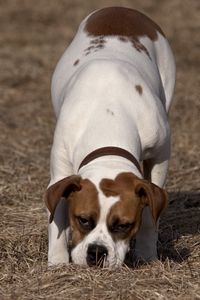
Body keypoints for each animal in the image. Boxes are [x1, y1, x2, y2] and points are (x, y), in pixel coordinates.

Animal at [45, 6, 175, 268]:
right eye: (83, 219)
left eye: (123, 225)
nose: (96, 252)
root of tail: (121, 9)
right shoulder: (60, 174)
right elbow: (57, 219)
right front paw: (57, 262)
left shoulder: (160, 157)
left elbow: (150, 217)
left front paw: (147, 254)